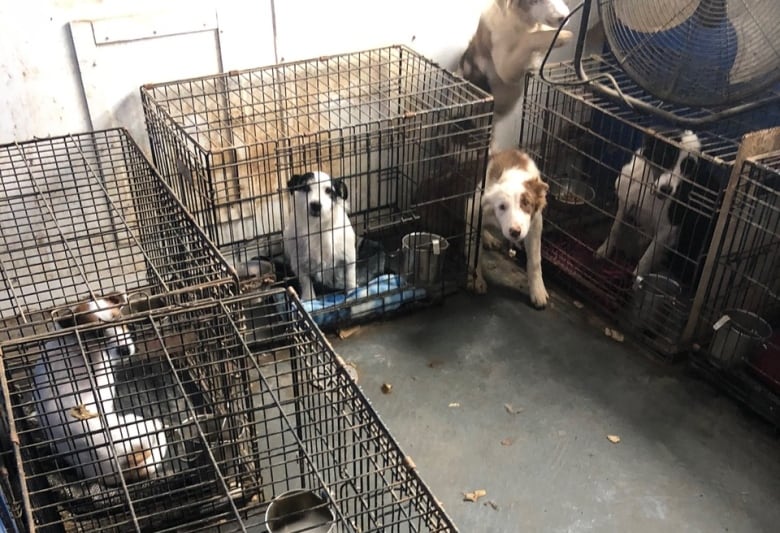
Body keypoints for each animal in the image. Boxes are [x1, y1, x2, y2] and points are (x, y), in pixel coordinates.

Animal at [34, 296, 169, 486]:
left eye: (119, 319)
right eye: (97, 333)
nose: (124, 350)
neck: (73, 343)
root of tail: (127, 463)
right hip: (135, 421)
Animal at [284, 172, 356, 302]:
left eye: (329, 191)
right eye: (305, 188)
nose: (315, 205)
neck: (318, 227)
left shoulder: (349, 257)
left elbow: (350, 277)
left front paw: (353, 292)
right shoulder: (299, 264)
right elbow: (306, 282)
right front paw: (309, 299)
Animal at [470, 150, 548, 308]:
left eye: (526, 203)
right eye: (502, 206)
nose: (515, 232)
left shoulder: (535, 224)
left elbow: (535, 260)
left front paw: (538, 291)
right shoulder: (474, 214)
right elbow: (474, 252)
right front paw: (477, 280)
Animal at [596, 130, 704, 282]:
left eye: (688, 167)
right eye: (665, 156)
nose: (666, 190)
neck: (649, 186)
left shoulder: (668, 229)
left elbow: (647, 257)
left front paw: (636, 280)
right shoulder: (624, 201)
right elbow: (614, 229)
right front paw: (604, 250)